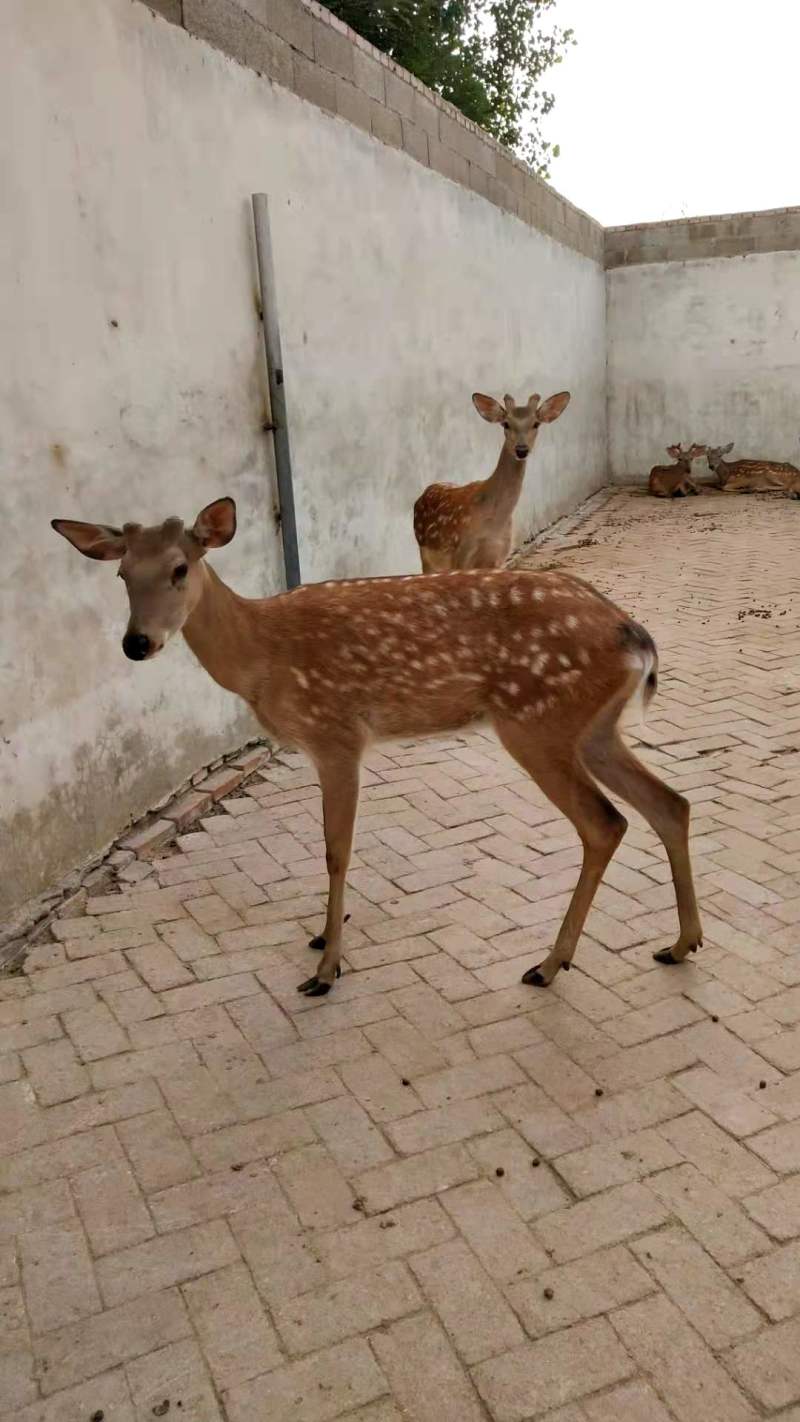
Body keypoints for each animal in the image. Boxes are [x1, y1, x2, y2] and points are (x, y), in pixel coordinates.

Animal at [51, 497, 702, 997]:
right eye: (122, 575)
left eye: (181, 567)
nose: (137, 643)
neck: (262, 657)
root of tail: (635, 636)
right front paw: (323, 936)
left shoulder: (336, 732)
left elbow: (336, 849)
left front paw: (326, 967)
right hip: (592, 728)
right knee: (670, 802)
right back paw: (679, 944)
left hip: (536, 721)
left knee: (605, 822)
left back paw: (548, 964)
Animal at [413, 390, 571, 572]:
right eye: (506, 424)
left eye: (536, 424)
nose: (521, 450)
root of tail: (425, 491)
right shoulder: (462, 553)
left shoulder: (500, 555)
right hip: (427, 556)